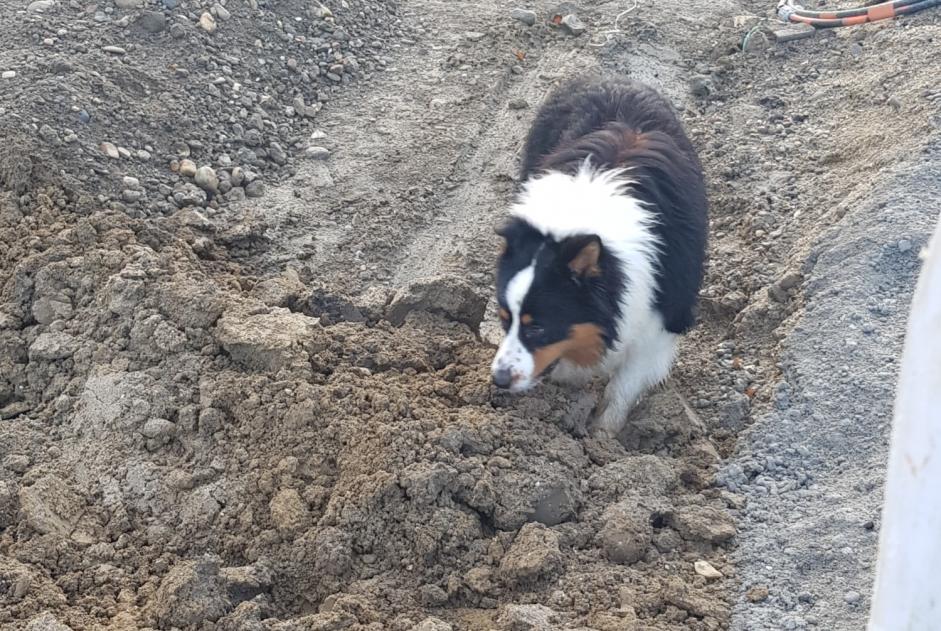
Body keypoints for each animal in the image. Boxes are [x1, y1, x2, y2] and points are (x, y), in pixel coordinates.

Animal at [492, 76, 704, 436]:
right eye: (504, 319)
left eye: (537, 329)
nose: (499, 380)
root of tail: (611, 78)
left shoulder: (659, 323)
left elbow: (623, 389)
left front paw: (602, 437)